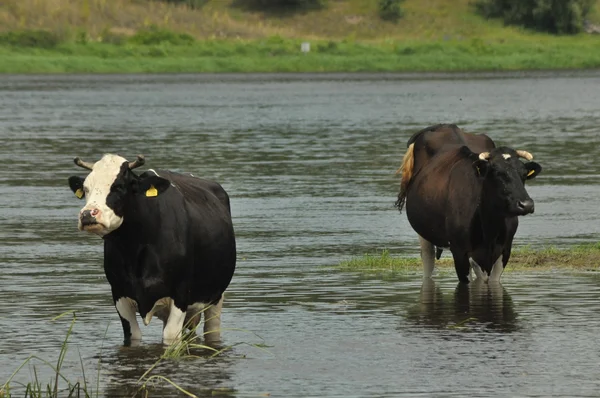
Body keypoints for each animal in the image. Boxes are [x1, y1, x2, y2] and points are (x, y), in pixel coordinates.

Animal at [65, 154, 234, 344]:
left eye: (118, 186)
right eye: (86, 188)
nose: (87, 214)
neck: (135, 249)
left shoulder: (181, 293)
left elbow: (170, 336)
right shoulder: (119, 292)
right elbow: (133, 336)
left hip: (216, 297)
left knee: (212, 331)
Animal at [396, 124, 540, 282]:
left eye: (524, 173)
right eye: (497, 172)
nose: (526, 205)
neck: (490, 231)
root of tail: (446, 126)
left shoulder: (504, 250)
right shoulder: (460, 252)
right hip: (423, 231)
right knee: (428, 260)